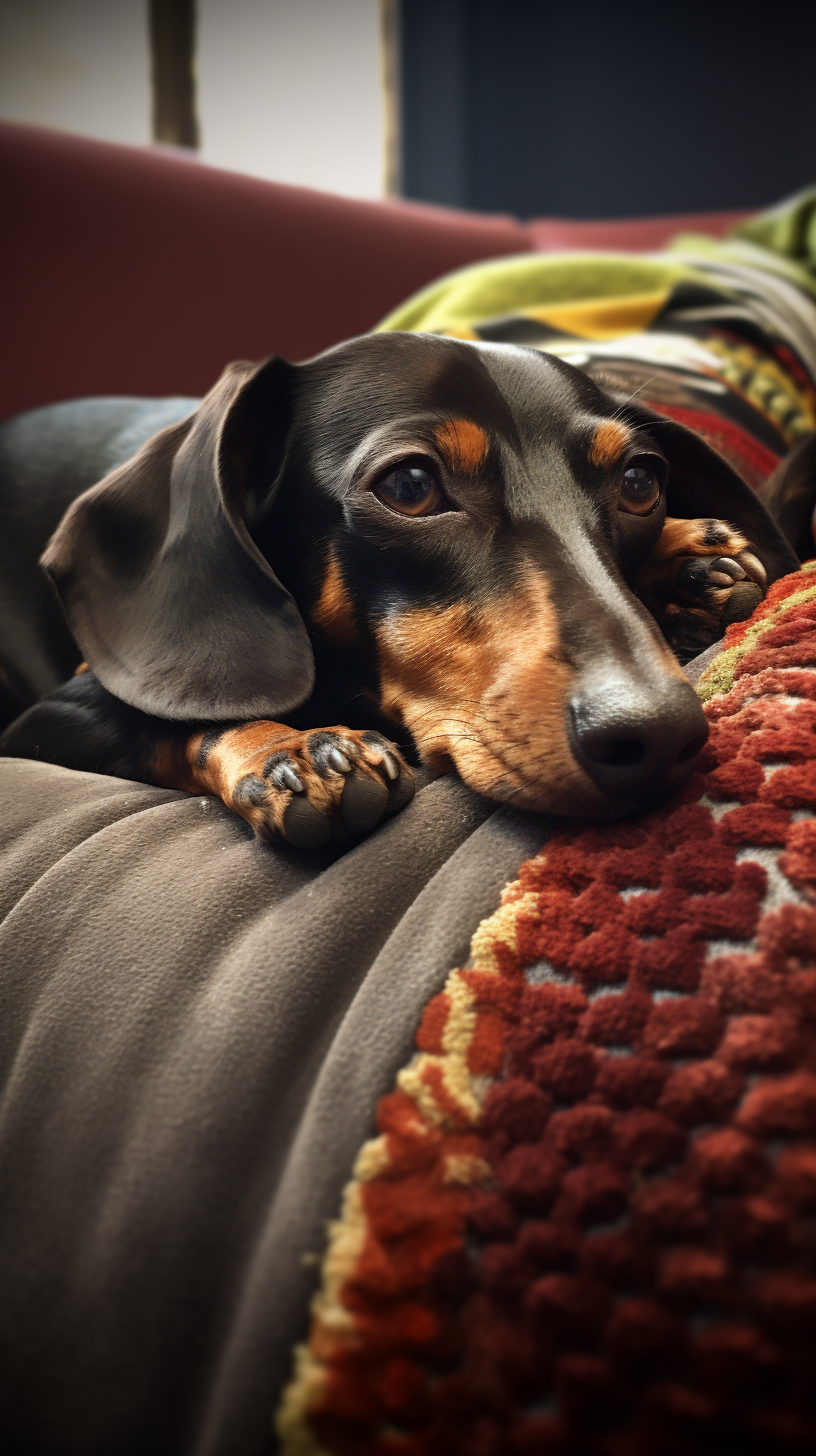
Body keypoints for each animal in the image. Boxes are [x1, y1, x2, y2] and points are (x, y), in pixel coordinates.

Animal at [0, 333, 804, 850]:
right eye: (410, 486)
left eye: (640, 482)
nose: (660, 735)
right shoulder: (54, 716)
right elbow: (173, 723)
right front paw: (293, 753)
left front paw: (689, 560)